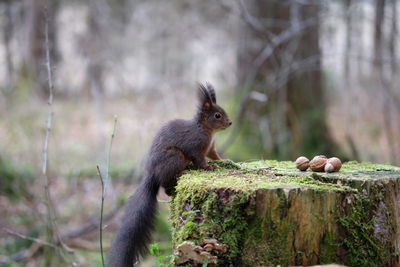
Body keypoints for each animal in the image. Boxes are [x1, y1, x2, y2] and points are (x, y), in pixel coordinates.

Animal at [108, 82, 233, 266]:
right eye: (217, 115)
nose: (230, 122)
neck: (206, 129)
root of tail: (152, 174)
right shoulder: (196, 146)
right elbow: (200, 159)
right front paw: (209, 167)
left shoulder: (210, 147)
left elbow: (214, 155)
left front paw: (225, 160)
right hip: (175, 157)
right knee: (167, 187)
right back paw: (183, 171)